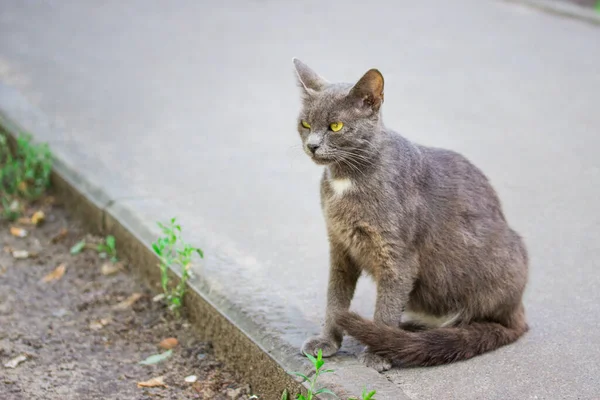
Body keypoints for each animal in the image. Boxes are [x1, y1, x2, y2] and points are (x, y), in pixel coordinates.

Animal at [292, 57, 528, 372]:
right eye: (305, 123)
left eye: (336, 126)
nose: (312, 146)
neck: (346, 179)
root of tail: (518, 311)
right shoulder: (340, 247)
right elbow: (335, 299)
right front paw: (326, 342)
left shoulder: (397, 255)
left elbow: (386, 307)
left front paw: (377, 353)